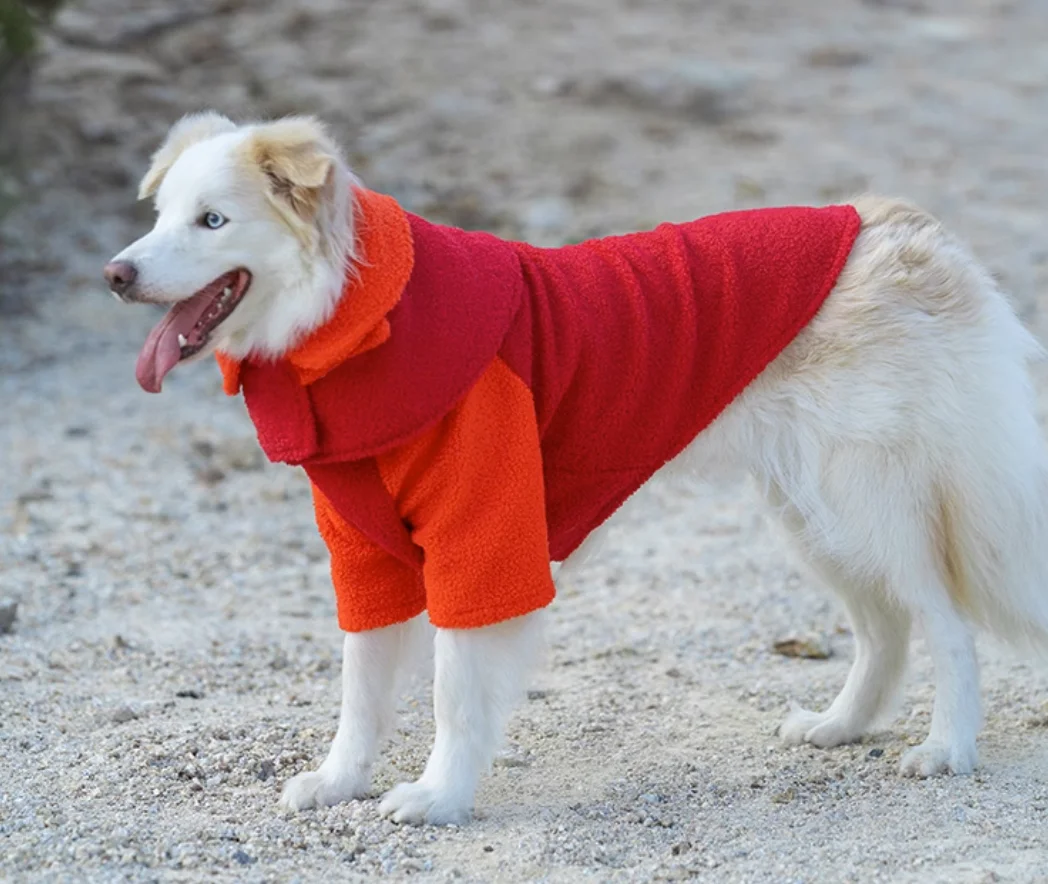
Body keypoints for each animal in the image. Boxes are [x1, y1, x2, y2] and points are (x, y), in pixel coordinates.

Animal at [106, 114, 1048, 825]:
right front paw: (341, 781)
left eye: (212, 221)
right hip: (808, 511)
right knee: (886, 628)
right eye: (161, 215)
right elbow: (360, 686)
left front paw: (440, 797)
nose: (116, 273)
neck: (355, 315)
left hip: (862, 499)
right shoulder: (364, 553)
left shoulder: (483, 541)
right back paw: (842, 725)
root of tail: (908, 227)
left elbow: (453, 688)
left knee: (947, 625)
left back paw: (946, 749)